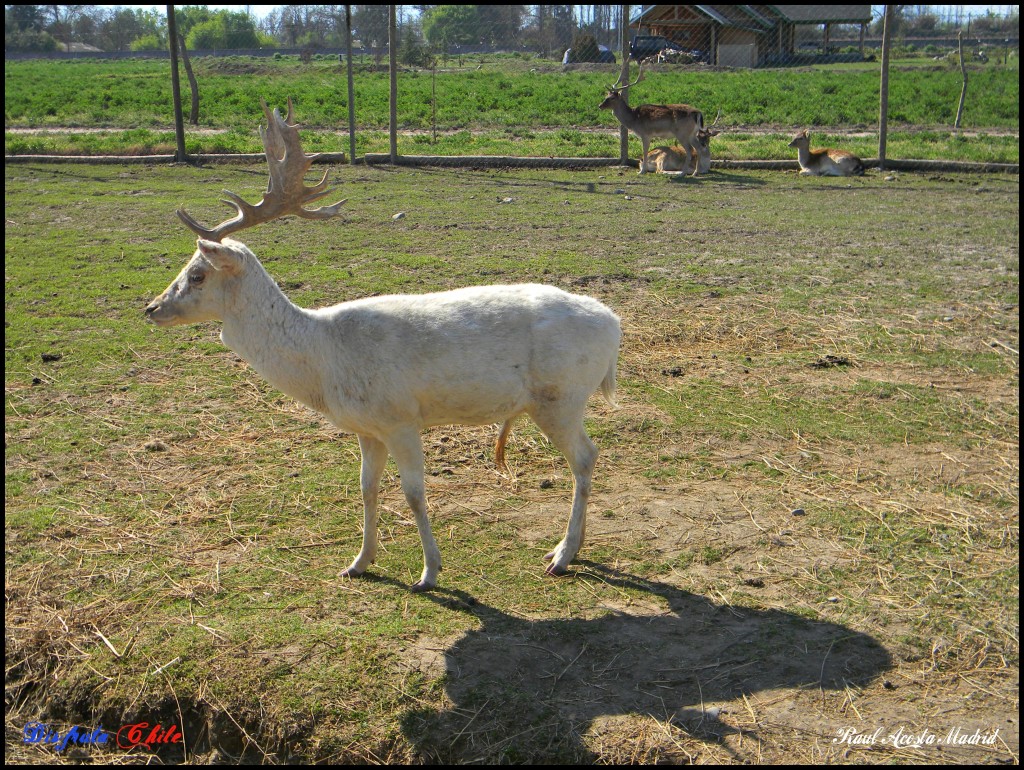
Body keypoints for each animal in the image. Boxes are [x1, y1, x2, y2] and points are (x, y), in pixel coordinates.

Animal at [146, 99, 622, 593]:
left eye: (197, 274)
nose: (152, 308)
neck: (323, 361)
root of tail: (615, 324)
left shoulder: (401, 418)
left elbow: (414, 493)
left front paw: (429, 572)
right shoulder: (367, 428)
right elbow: (366, 488)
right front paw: (359, 562)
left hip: (561, 397)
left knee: (586, 457)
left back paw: (562, 554)